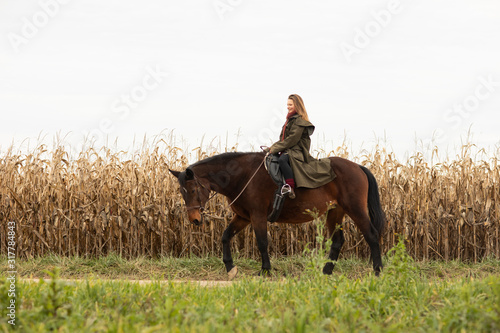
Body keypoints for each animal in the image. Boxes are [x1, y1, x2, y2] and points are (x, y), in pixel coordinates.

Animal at [170, 150, 384, 274]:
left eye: (193, 190)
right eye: (181, 192)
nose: (194, 219)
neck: (243, 176)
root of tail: (357, 167)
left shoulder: (257, 216)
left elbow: (262, 242)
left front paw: (265, 270)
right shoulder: (243, 217)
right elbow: (225, 236)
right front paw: (230, 267)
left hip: (355, 209)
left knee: (372, 235)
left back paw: (378, 270)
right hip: (335, 212)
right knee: (338, 241)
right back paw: (326, 271)